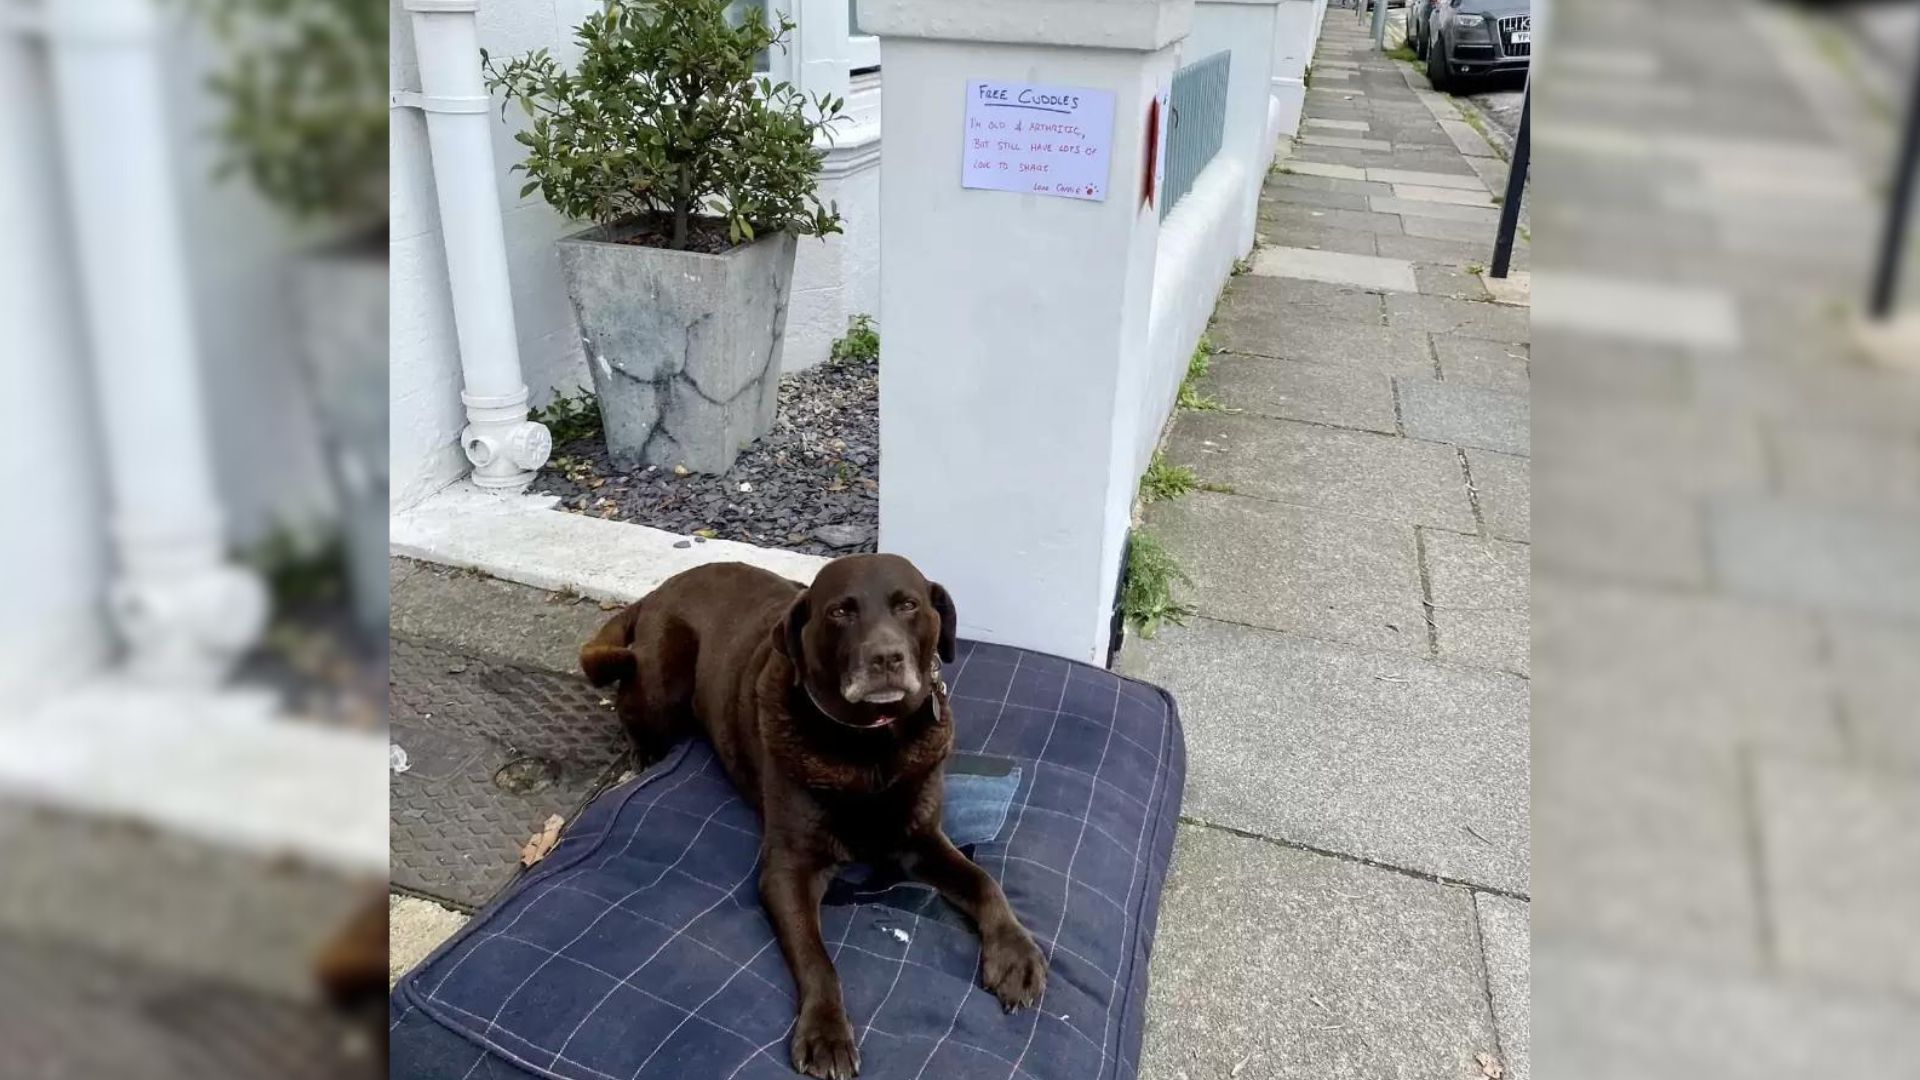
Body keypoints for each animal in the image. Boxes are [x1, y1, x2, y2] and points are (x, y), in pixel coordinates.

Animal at [579, 553, 1052, 1076]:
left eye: (907, 605)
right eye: (840, 611)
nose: (885, 659)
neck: (870, 746)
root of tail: (659, 590)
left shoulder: (922, 840)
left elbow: (984, 882)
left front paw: (1015, 953)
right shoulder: (788, 871)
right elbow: (816, 958)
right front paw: (826, 1030)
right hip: (663, 683)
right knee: (627, 699)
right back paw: (641, 752)